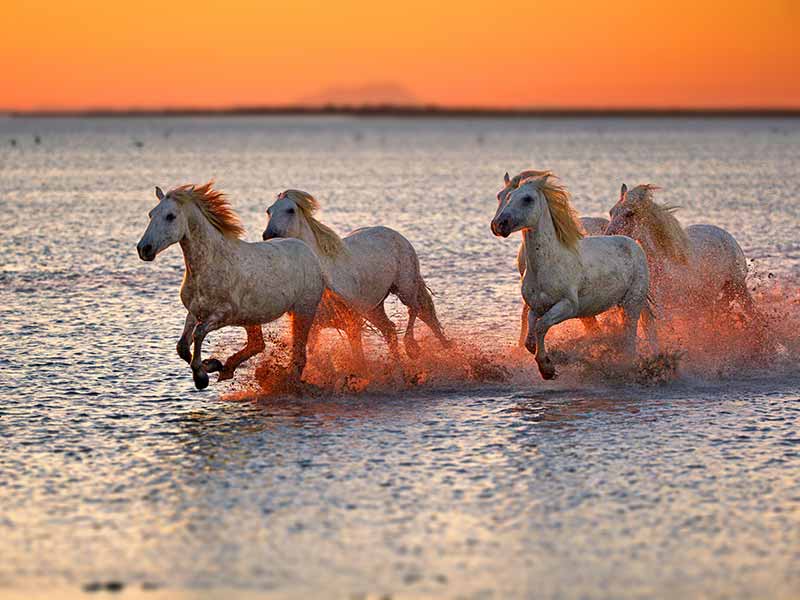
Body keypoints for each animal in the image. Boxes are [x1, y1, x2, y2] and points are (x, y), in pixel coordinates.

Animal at [137, 183, 324, 390]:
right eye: (151, 214)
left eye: (170, 216)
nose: (144, 249)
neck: (209, 265)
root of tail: (306, 248)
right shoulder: (194, 311)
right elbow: (182, 347)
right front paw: (212, 365)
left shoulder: (223, 314)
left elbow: (198, 334)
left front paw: (201, 376)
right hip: (252, 316)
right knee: (258, 344)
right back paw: (228, 369)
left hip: (304, 310)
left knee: (298, 351)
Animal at [262, 190, 450, 358]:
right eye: (269, 211)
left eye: (290, 210)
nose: (268, 236)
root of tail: (395, 234)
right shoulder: (313, 326)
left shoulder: (352, 323)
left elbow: (359, 358)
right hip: (373, 308)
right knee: (392, 328)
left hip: (405, 288)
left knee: (417, 310)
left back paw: (413, 348)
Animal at [608, 184, 756, 316]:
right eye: (611, 212)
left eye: (630, 213)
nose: (608, 236)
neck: (665, 265)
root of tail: (727, 235)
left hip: (736, 288)